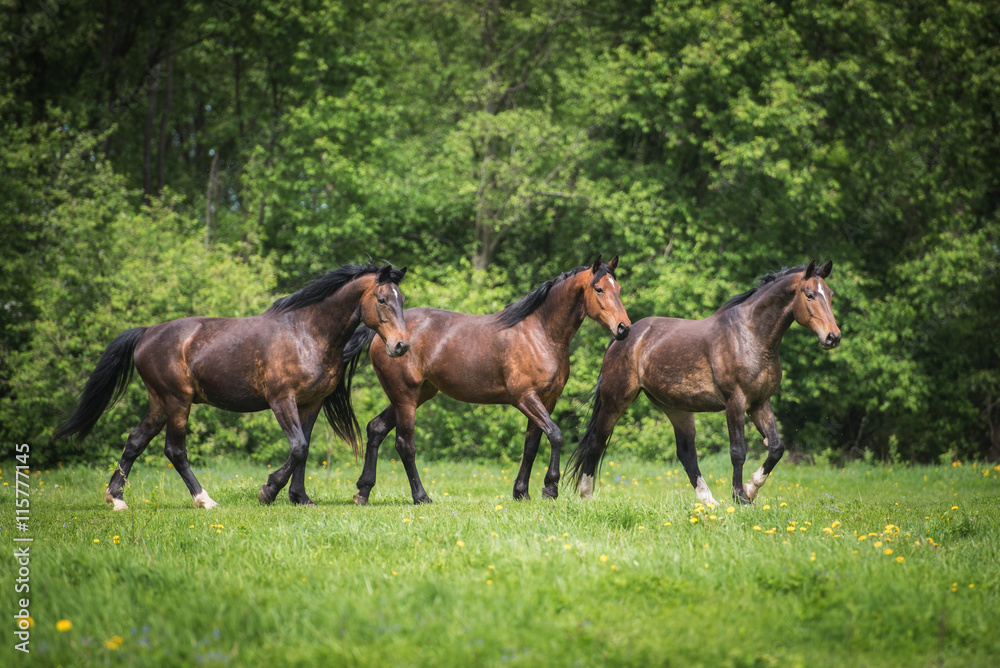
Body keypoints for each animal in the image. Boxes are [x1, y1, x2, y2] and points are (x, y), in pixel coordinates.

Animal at [49, 264, 410, 508]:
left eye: (402, 299)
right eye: (382, 299)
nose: (401, 345)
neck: (306, 332)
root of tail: (147, 333)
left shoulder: (312, 403)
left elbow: (304, 449)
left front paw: (300, 497)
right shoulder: (282, 400)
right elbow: (298, 447)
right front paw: (268, 491)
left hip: (159, 403)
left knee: (135, 441)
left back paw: (117, 499)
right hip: (177, 401)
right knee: (175, 450)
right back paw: (204, 500)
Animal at [346, 258, 632, 506]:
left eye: (618, 288)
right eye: (599, 289)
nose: (624, 328)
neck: (540, 333)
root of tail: (383, 336)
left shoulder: (547, 400)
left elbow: (532, 445)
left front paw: (521, 493)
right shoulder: (524, 398)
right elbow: (556, 434)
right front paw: (550, 488)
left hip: (417, 394)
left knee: (376, 428)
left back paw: (363, 492)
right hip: (405, 396)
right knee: (405, 444)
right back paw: (421, 497)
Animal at [568, 260, 840, 506]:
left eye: (830, 295)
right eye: (809, 294)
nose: (833, 337)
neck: (750, 335)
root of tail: (621, 336)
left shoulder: (760, 403)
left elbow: (776, 448)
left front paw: (751, 489)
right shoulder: (735, 402)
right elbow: (738, 451)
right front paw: (740, 497)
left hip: (676, 408)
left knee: (687, 454)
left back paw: (709, 502)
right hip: (616, 400)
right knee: (596, 442)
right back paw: (586, 496)